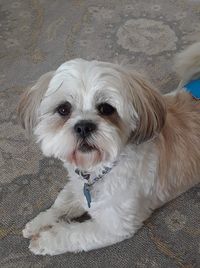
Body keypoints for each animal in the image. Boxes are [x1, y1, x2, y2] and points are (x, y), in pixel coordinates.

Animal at [17, 42, 200, 255]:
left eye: (106, 108)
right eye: (63, 109)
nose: (84, 126)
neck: (99, 169)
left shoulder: (114, 225)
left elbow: (74, 234)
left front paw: (46, 240)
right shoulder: (77, 185)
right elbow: (63, 202)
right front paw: (40, 222)